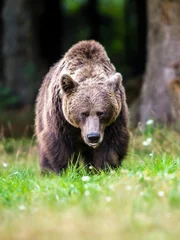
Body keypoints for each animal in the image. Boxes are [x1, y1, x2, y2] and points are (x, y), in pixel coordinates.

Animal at [34, 40, 129, 173]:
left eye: (101, 113)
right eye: (83, 113)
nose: (93, 136)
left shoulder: (115, 120)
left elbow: (111, 145)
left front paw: (105, 169)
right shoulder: (60, 117)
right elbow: (60, 144)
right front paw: (67, 170)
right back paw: (47, 171)